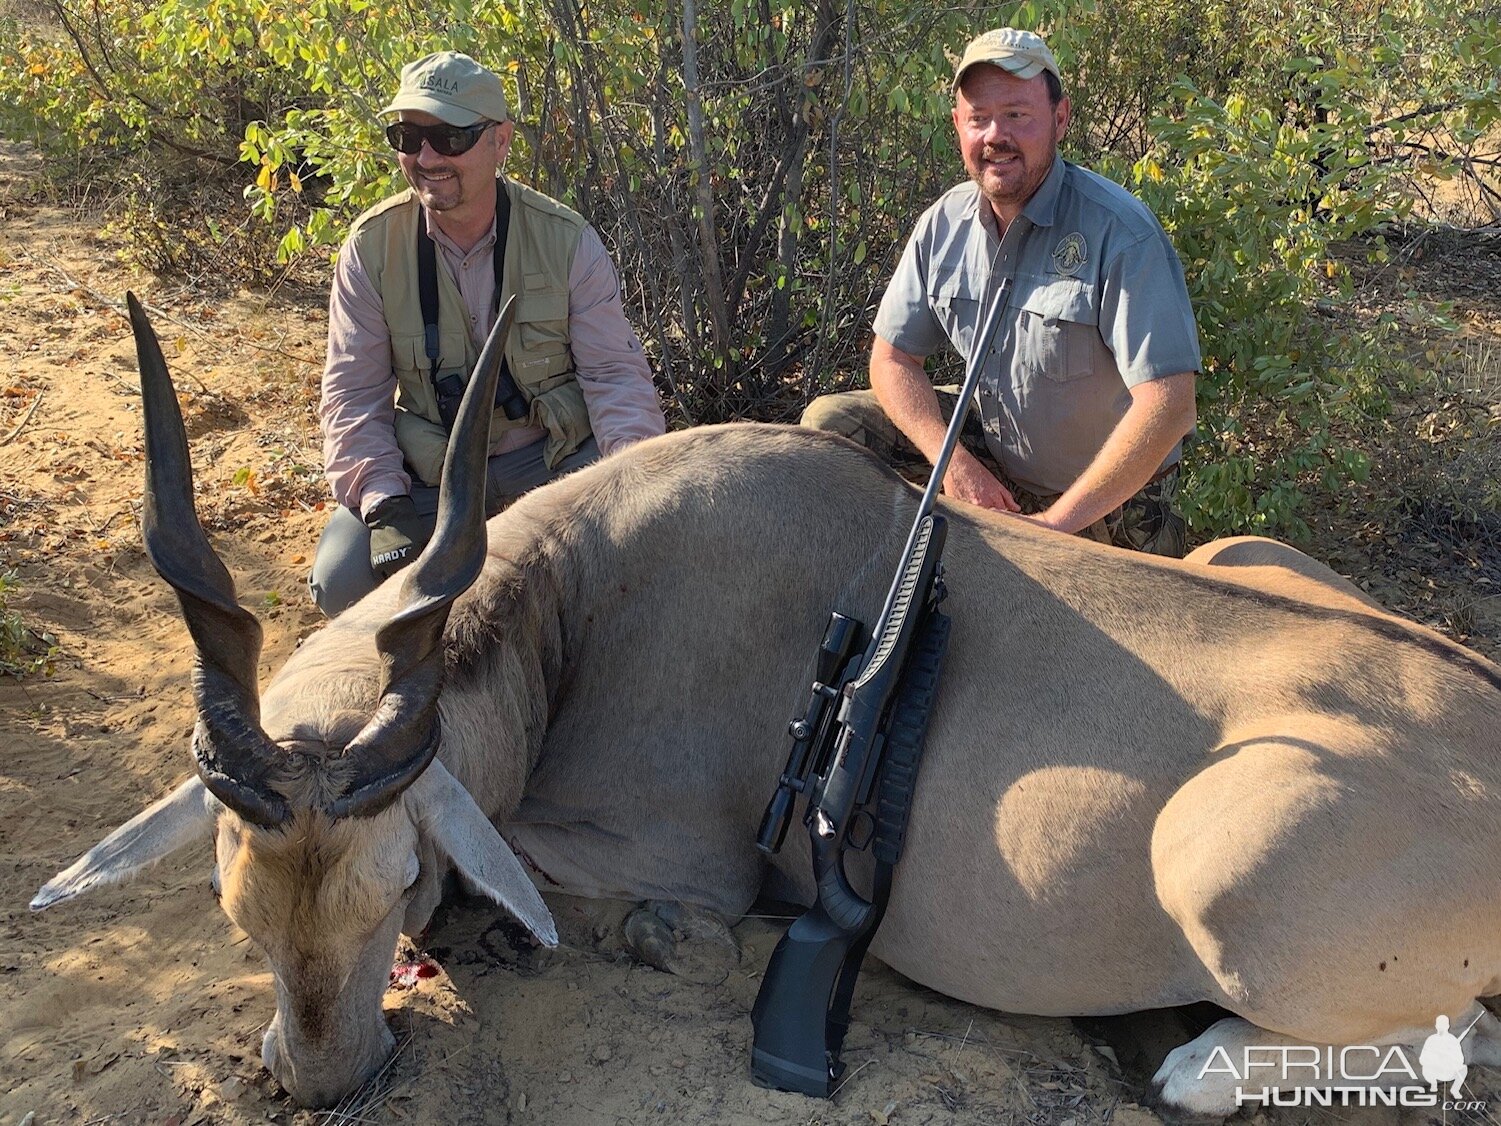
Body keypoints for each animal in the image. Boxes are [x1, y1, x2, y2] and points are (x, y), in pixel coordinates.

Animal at [29, 295, 1501, 1116]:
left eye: (400, 881)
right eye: (234, 900)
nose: (324, 1079)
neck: (579, 603)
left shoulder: (681, 862)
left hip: (1221, 863)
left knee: (1450, 1039)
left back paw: (1189, 1064)